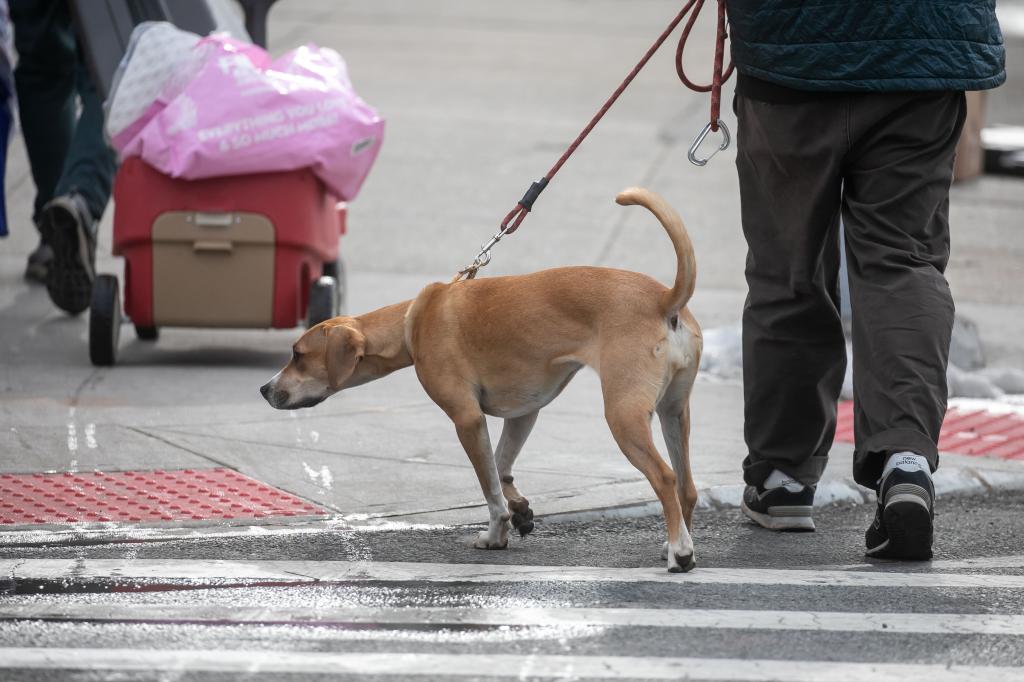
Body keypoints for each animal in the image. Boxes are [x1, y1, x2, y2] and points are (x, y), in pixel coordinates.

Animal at [260, 184, 700, 569]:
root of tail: (664, 301)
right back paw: (676, 543)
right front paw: (519, 509)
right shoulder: (523, 413)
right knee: (686, 487)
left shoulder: (467, 419)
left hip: (624, 417)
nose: (264, 389)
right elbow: (501, 468)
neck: (412, 322)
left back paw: (679, 554)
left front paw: (495, 533)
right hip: (673, 413)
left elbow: (489, 489)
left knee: (665, 477)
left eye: (298, 355)